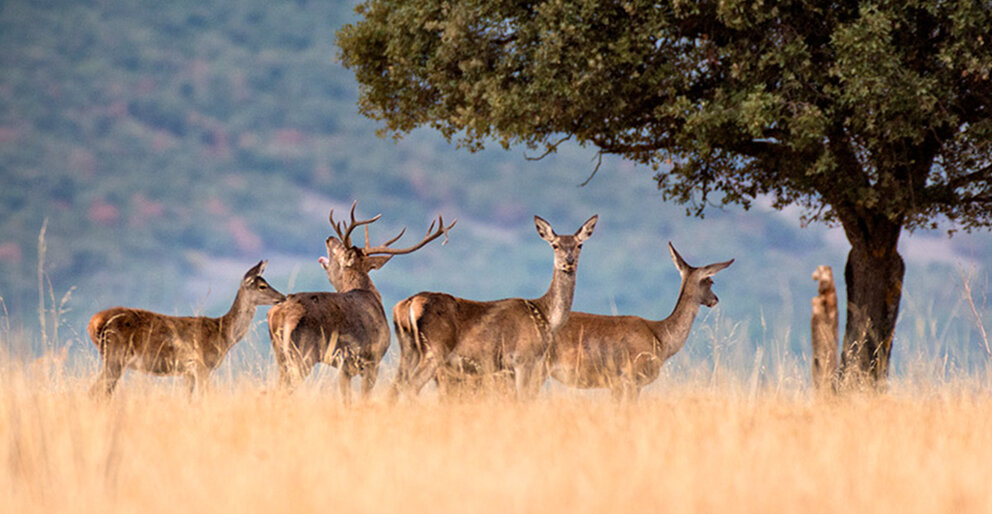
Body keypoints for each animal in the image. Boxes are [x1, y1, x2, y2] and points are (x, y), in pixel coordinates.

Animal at [87, 260, 284, 396]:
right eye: (262, 286)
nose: (282, 297)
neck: (223, 333)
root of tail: (94, 322)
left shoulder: (187, 372)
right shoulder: (201, 365)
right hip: (116, 355)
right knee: (96, 392)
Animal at [266, 202, 456, 402]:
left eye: (340, 250)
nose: (329, 238)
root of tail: (280, 312)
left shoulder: (345, 366)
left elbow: (347, 400)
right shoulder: (373, 358)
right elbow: (364, 397)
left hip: (281, 355)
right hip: (303, 353)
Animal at [392, 214, 600, 398]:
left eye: (579, 245)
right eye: (555, 245)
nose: (569, 262)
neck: (546, 317)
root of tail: (408, 304)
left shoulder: (509, 368)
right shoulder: (524, 359)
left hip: (408, 348)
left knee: (394, 388)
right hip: (435, 348)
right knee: (411, 387)